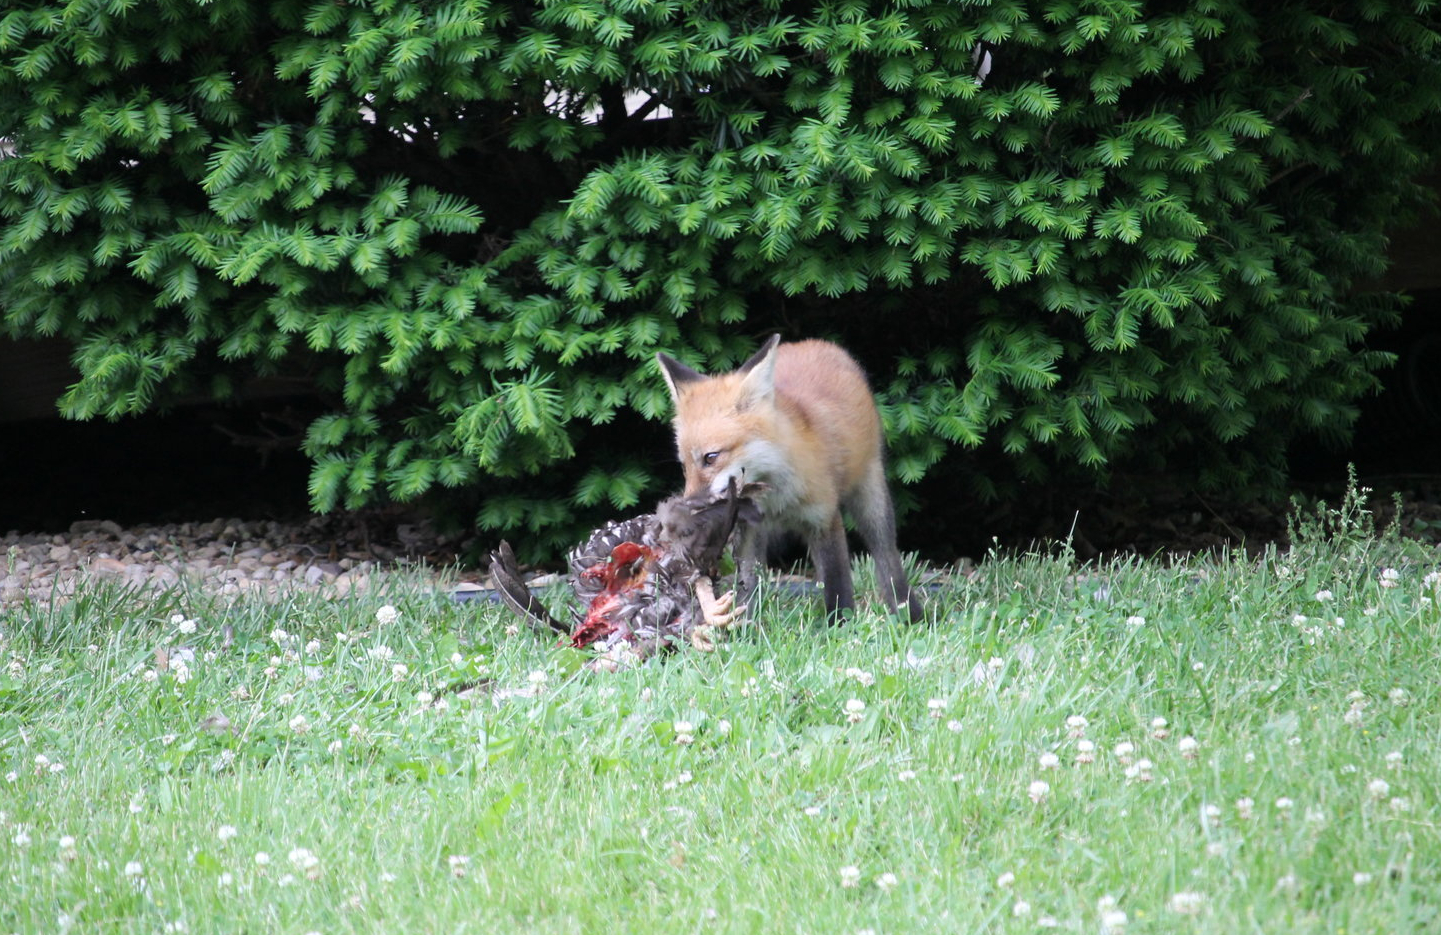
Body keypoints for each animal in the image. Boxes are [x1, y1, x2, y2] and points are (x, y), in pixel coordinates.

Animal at [656, 335, 923, 622]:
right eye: (684, 465)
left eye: (711, 457)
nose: (690, 506)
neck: (777, 497)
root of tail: (813, 342)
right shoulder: (749, 528)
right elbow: (748, 583)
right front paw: (746, 626)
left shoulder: (824, 519)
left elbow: (837, 584)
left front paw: (840, 625)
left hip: (870, 494)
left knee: (887, 556)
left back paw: (908, 610)